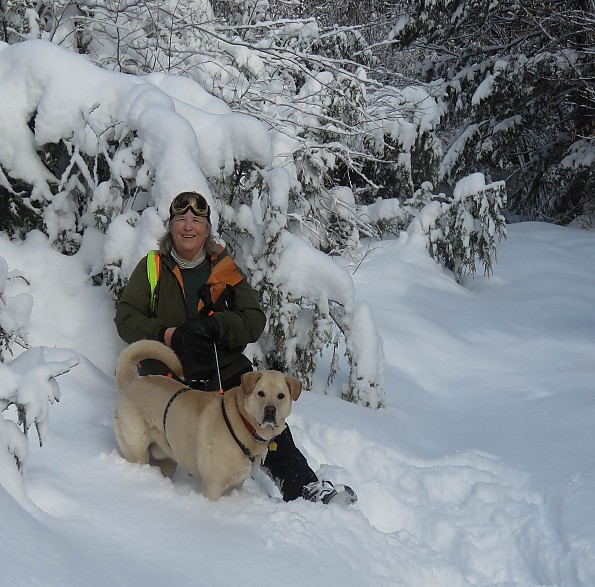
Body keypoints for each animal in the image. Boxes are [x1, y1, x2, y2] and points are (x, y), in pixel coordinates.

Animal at [113, 340, 302, 500]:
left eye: (281, 396)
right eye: (260, 393)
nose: (270, 410)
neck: (243, 422)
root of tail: (130, 382)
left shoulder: (236, 484)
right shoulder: (213, 486)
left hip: (166, 459)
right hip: (137, 450)